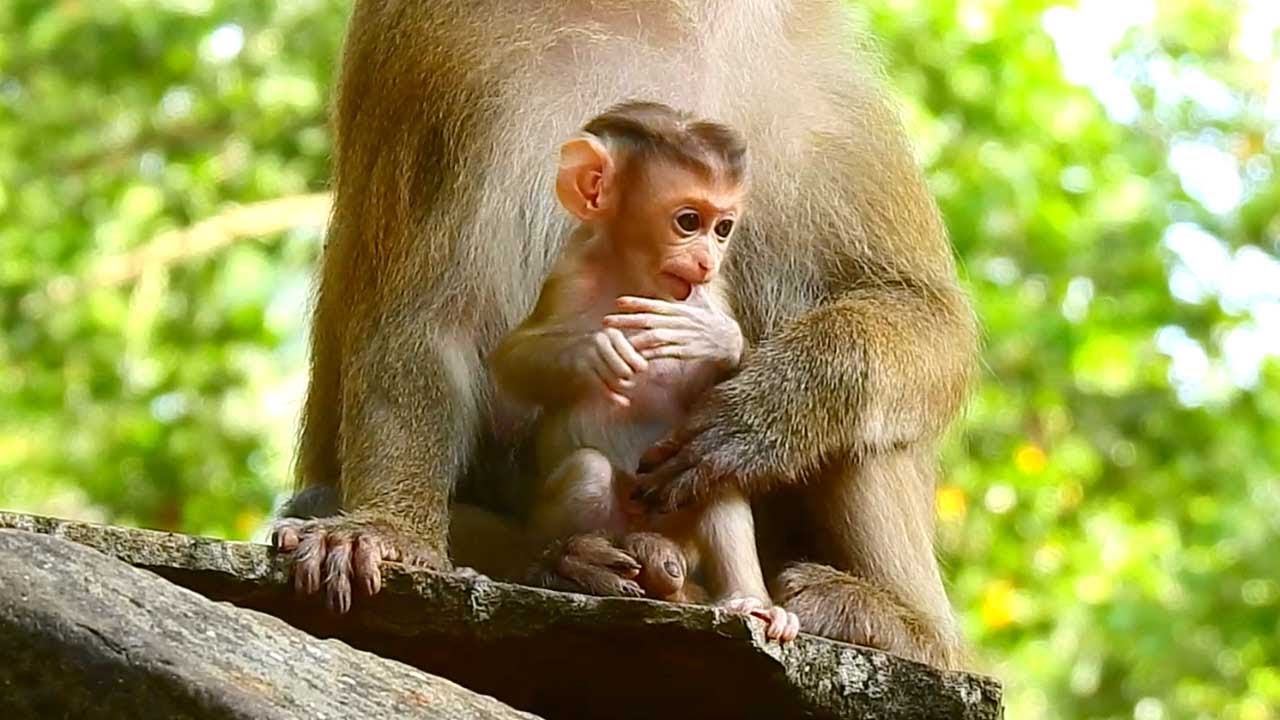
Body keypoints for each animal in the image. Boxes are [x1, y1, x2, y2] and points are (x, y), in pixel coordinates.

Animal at [488, 102, 798, 642]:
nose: (707, 260)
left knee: (709, 475)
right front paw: (596, 350)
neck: (634, 278)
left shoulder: (709, 295)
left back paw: (748, 603)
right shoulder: (570, 274)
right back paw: (570, 564)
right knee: (588, 472)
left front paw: (716, 339)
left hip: (672, 516)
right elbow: (512, 359)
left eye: (723, 229)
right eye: (689, 221)